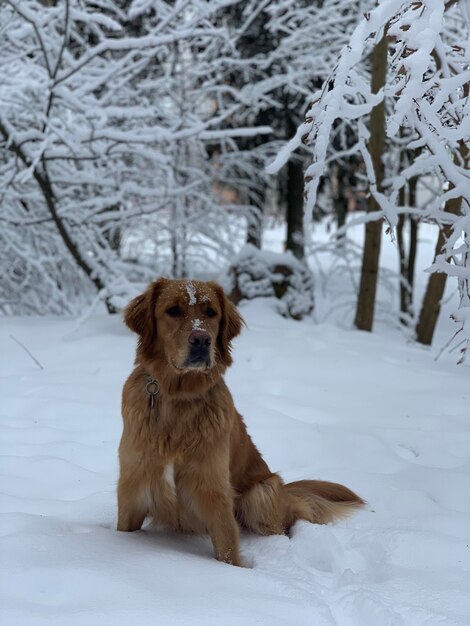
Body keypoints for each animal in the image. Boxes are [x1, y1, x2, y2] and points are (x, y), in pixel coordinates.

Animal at [117, 278, 364, 564]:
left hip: (261, 493)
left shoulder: (214, 493)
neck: (178, 397)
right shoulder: (133, 488)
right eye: (173, 310)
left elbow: (227, 551)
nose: (202, 340)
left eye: (211, 312)